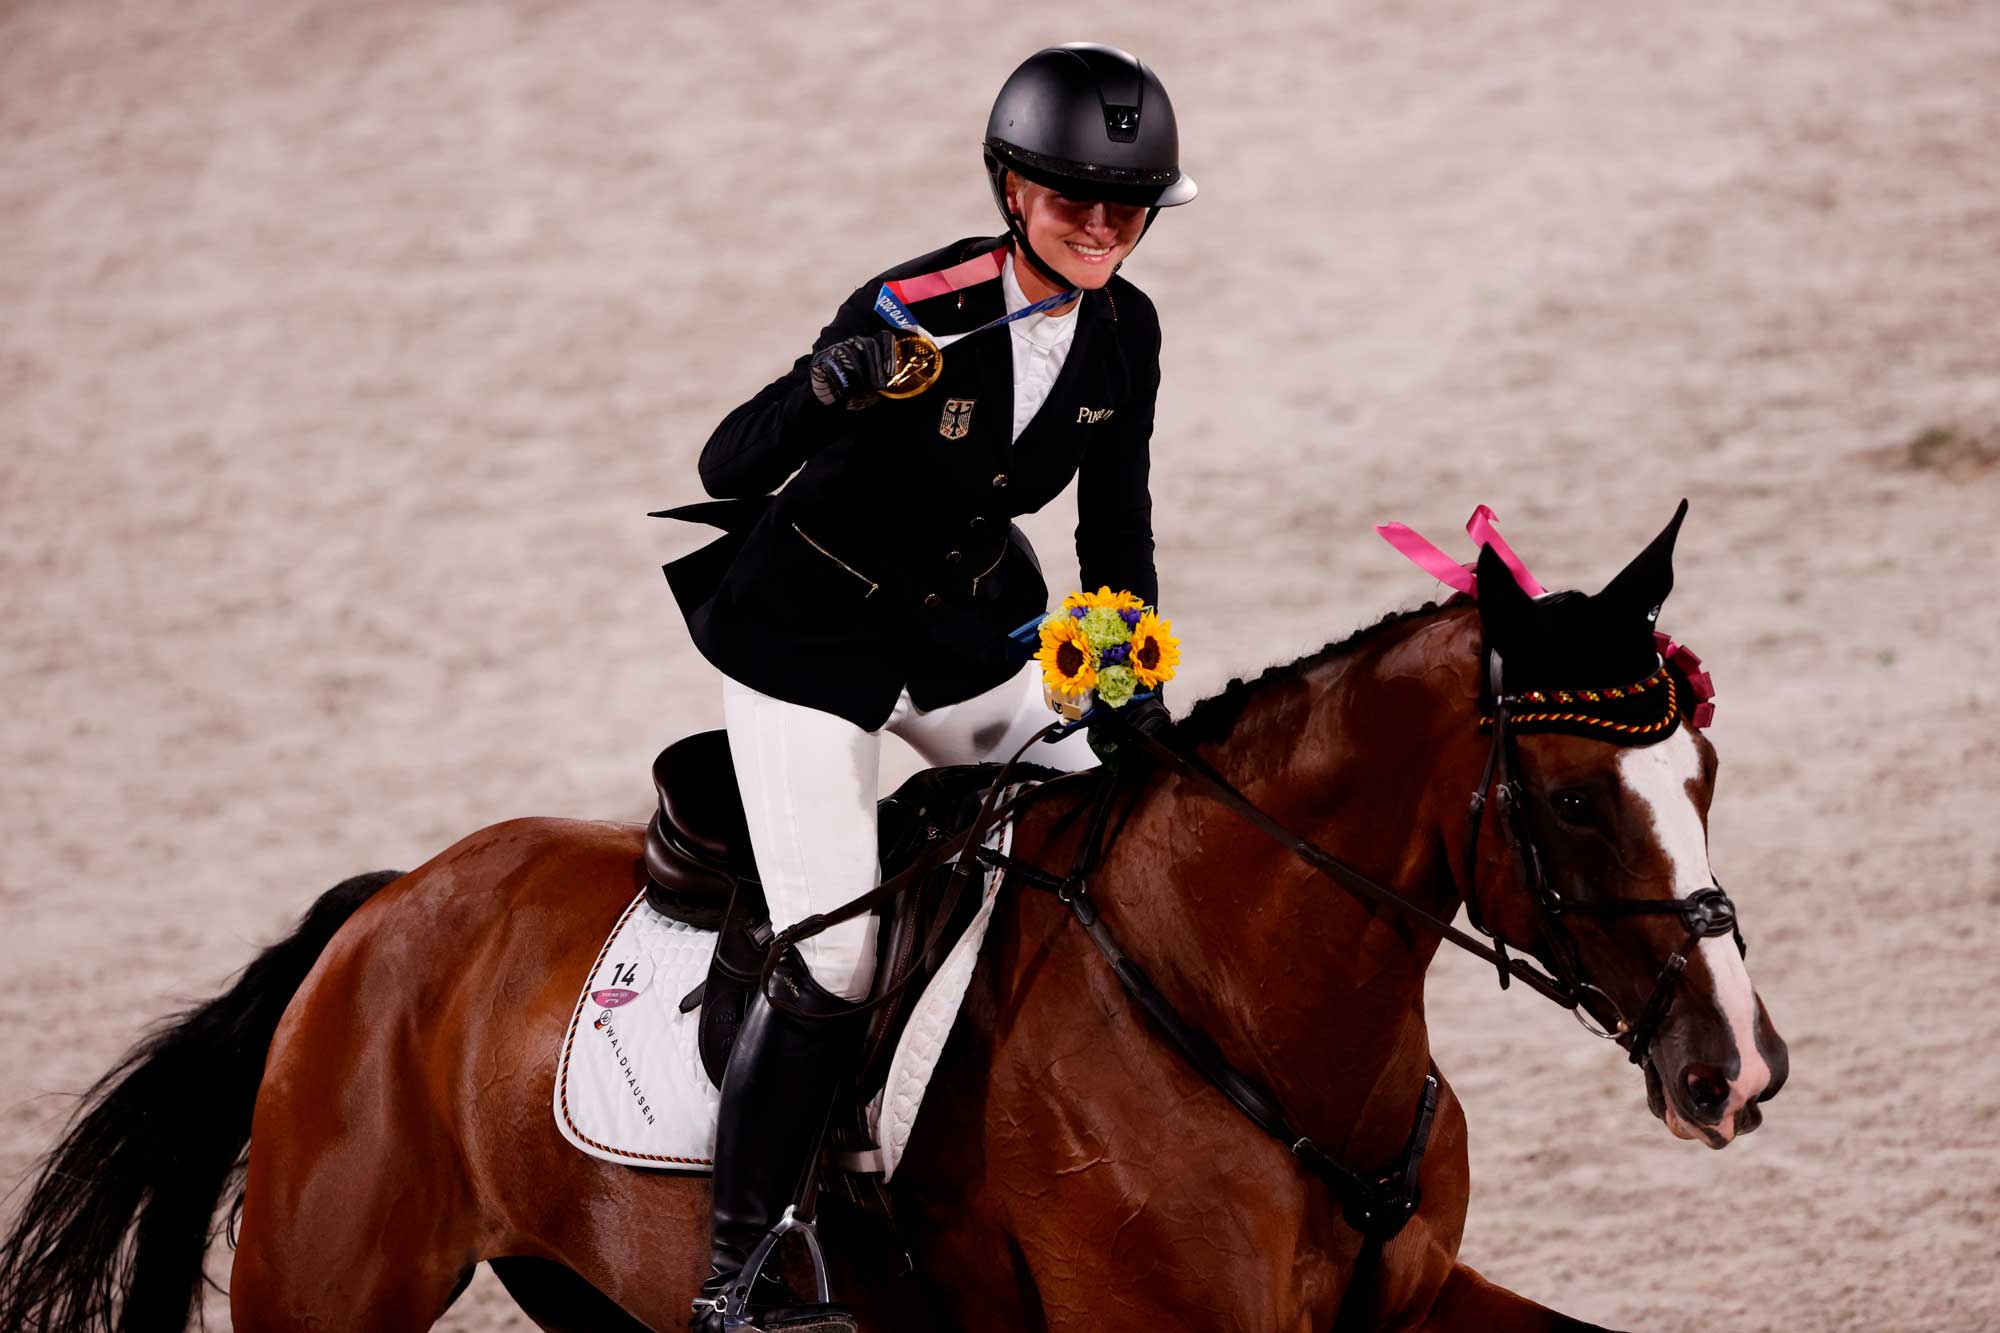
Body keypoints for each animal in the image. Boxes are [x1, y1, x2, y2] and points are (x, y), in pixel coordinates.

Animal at [0, 507, 1788, 1332]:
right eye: (1575, 803)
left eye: (1705, 769)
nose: (1737, 1070)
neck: (1246, 1005)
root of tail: (380, 919)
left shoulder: (1413, 1298)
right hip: (332, 1280)